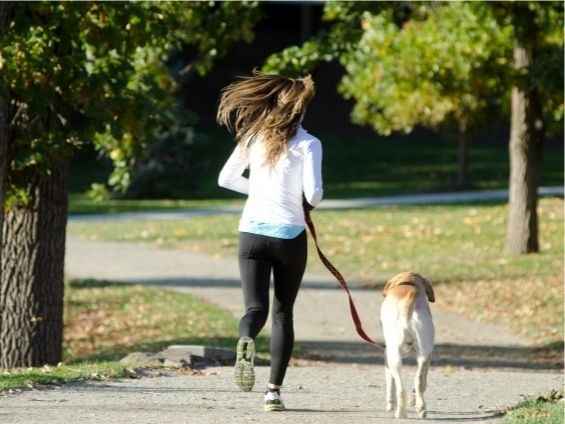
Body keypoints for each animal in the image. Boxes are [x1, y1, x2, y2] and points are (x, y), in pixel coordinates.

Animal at [382, 274, 434, 420]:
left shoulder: (387, 357)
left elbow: (390, 384)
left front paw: (390, 405)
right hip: (424, 355)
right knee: (419, 381)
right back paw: (421, 408)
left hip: (394, 358)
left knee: (400, 388)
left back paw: (400, 412)